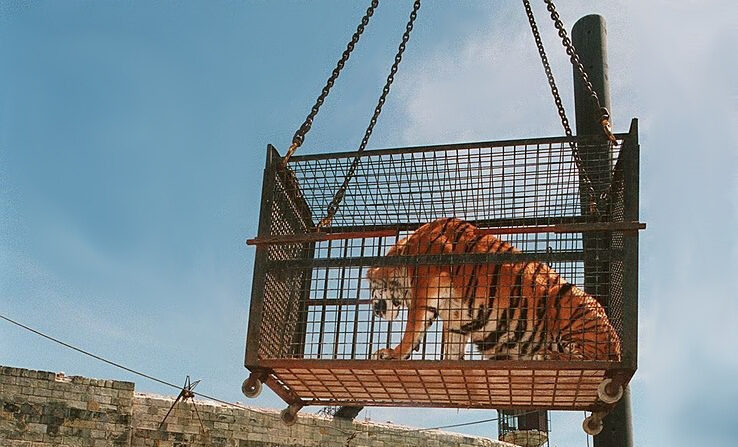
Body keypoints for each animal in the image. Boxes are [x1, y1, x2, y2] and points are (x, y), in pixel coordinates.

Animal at [366, 219, 620, 362]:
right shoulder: (455, 315)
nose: (375, 311)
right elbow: (451, 347)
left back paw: (546, 355)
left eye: (370, 292)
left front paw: (392, 353)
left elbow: (412, 327)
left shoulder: (427, 283)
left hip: (569, 306)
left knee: (591, 358)